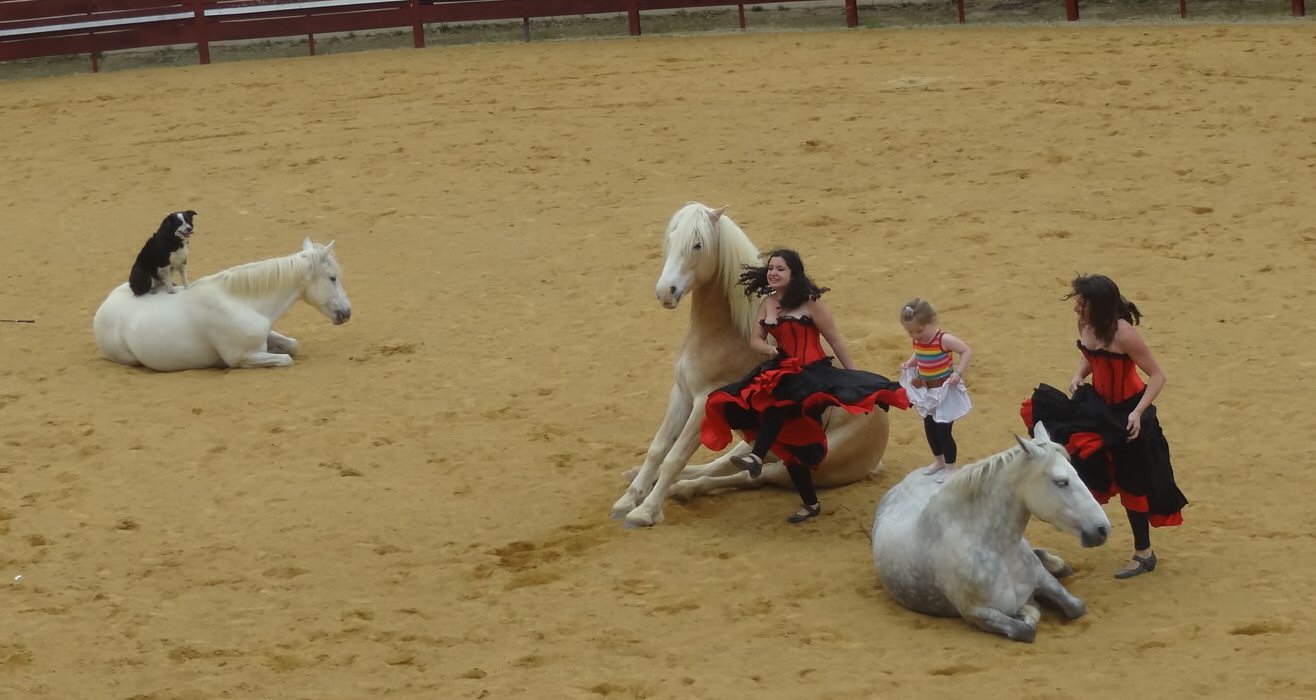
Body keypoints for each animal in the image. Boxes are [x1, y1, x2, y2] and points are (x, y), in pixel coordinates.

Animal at [92, 239, 352, 371]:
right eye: (333, 277)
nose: (347, 313)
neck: (238, 301)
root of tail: (104, 307)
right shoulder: (243, 357)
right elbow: (285, 358)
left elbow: (293, 346)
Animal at [873, 423, 1110, 642]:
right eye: (1061, 482)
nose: (1102, 529)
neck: (1000, 551)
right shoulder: (977, 613)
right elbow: (1025, 629)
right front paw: (1027, 611)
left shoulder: (1043, 579)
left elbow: (1076, 607)